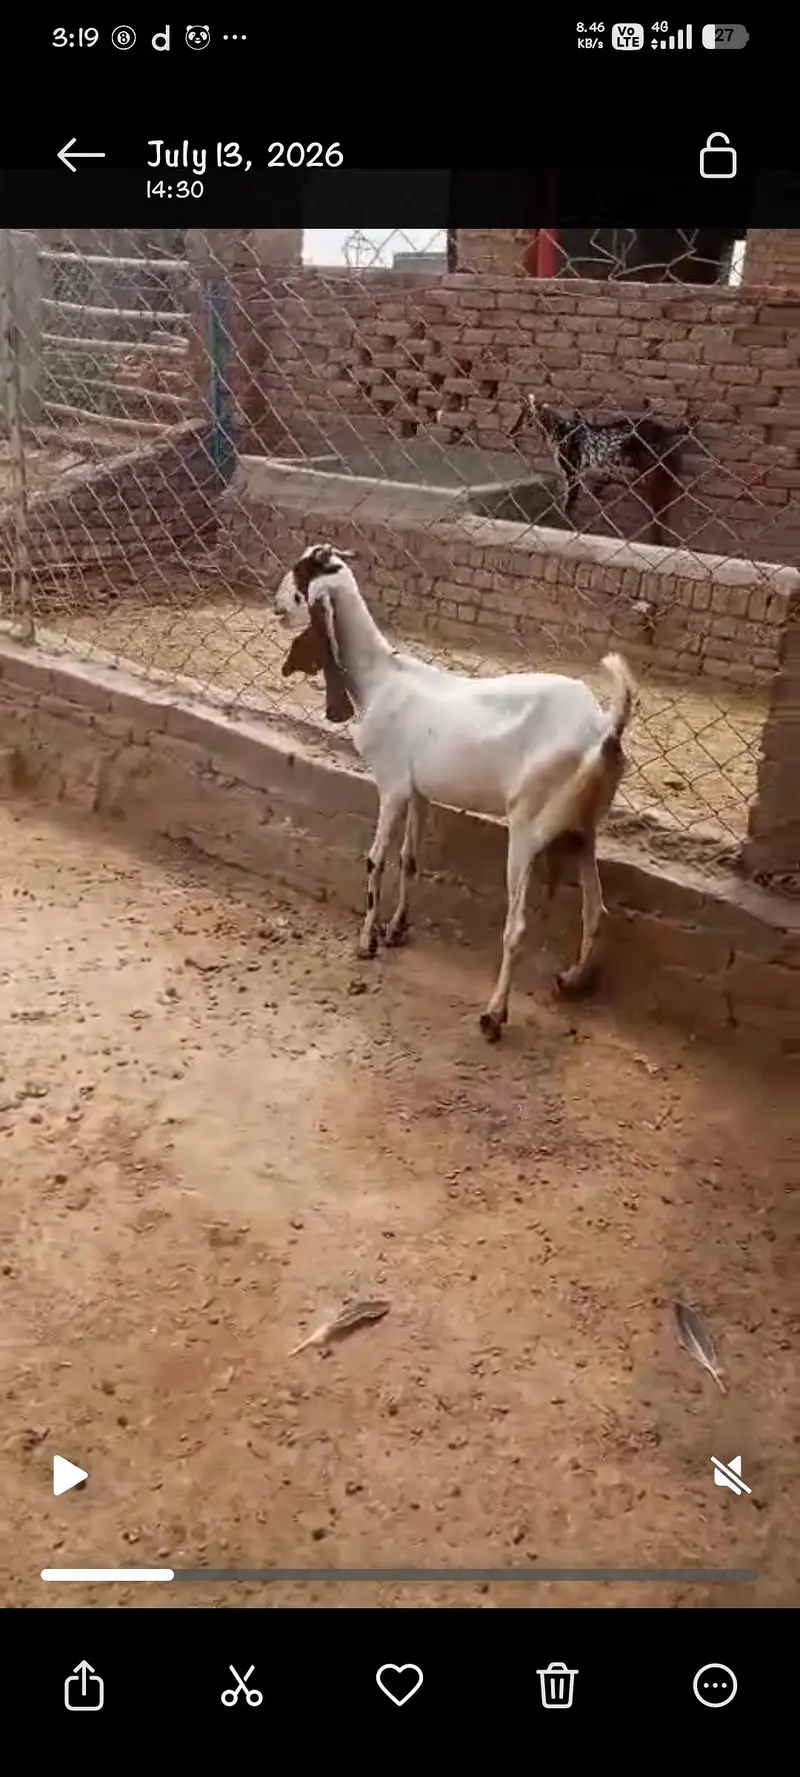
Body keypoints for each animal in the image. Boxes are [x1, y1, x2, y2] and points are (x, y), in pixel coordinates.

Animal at [275, 544, 635, 1042]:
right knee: (595, 908)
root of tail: (603, 729)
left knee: (517, 927)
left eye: (301, 574)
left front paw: (366, 941)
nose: (274, 606)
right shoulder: (419, 792)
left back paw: (493, 1015)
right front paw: (396, 930)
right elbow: (409, 859)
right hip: (584, 829)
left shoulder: (391, 785)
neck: (381, 679)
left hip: (528, 827)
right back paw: (570, 979)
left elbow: (376, 859)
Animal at [510, 397, 690, 545]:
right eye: (520, 413)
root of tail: (666, 430)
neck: (560, 431)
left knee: (659, 515)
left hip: (656, 477)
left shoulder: (573, 472)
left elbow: (568, 505)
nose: (511, 432)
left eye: (526, 416)